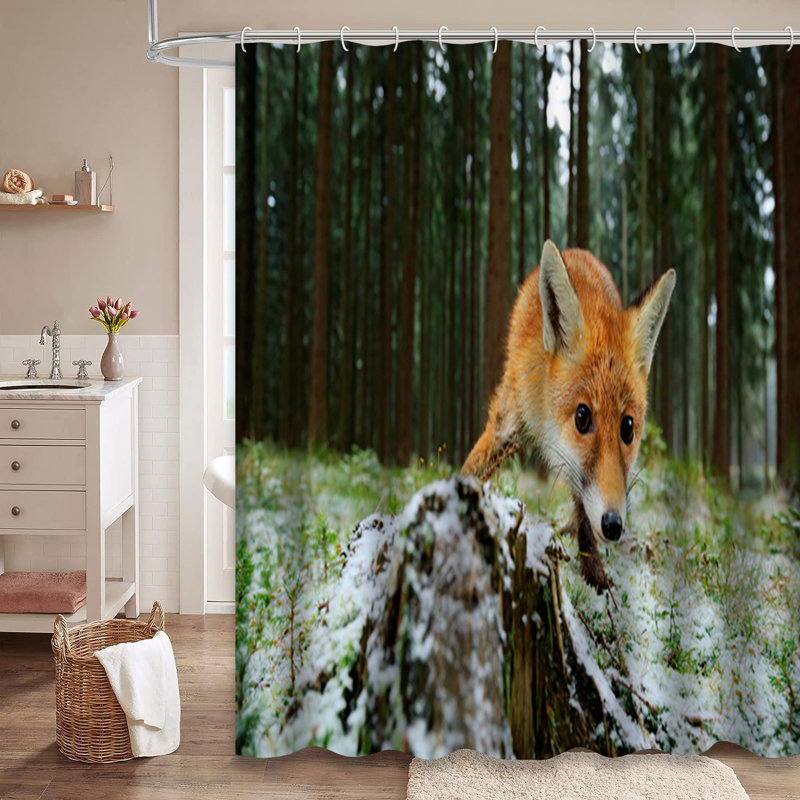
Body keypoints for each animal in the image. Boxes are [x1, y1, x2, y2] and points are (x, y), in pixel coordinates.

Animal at [463, 240, 675, 591]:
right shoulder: (507, 421)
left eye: (628, 428)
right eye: (582, 417)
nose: (614, 524)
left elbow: (585, 516)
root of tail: (578, 251)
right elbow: (471, 471)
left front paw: (595, 575)